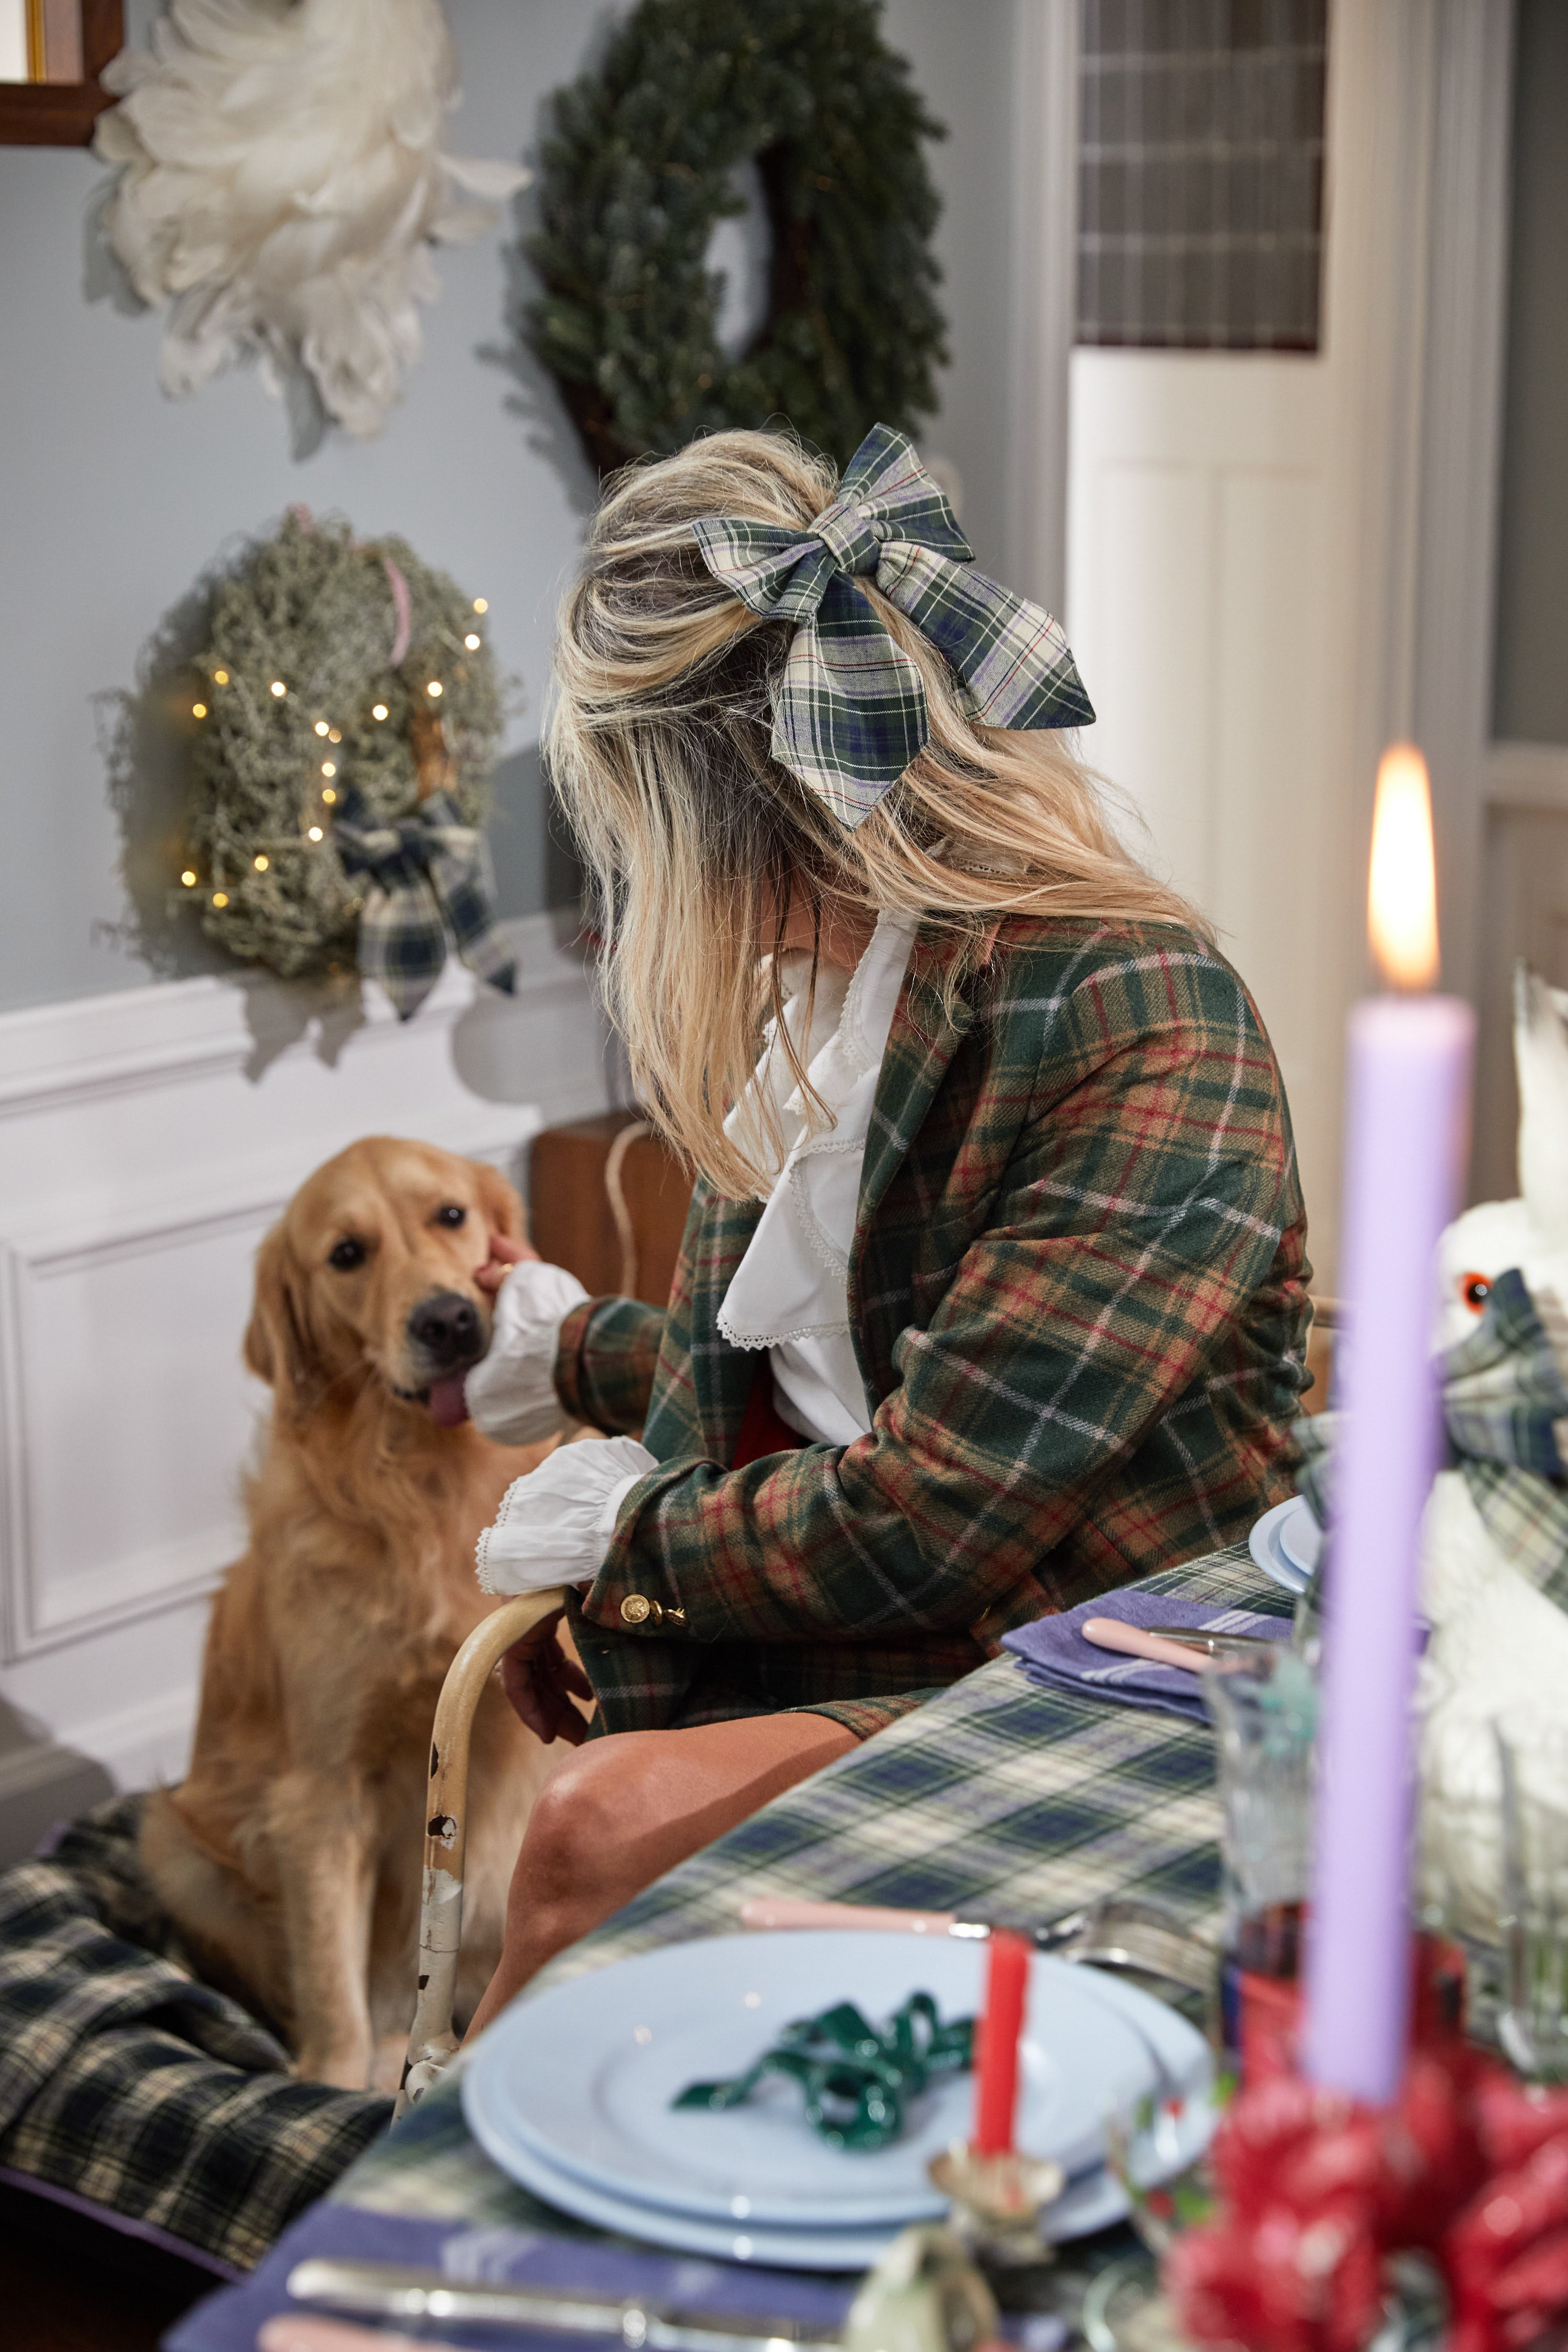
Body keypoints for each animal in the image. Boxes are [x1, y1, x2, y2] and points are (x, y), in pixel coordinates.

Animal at [143, 1138, 571, 2098]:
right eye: (347, 1255)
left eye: (451, 1216)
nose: (448, 1320)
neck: (424, 1484)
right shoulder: (323, 1790)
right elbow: (336, 1984)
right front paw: (339, 2080)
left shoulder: (503, 1755)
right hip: (177, 1847)